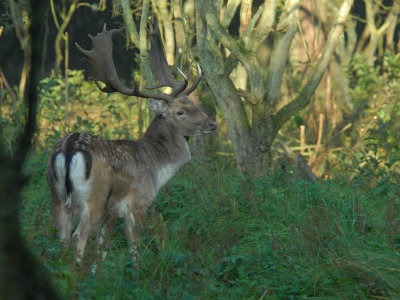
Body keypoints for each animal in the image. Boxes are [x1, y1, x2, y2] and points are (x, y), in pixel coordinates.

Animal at [45, 21, 217, 264]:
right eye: (180, 111)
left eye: (191, 103)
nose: (212, 123)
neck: (156, 168)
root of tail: (69, 150)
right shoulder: (138, 203)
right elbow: (133, 244)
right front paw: (138, 269)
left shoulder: (111, 214)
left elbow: (102, 248)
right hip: (94, 198)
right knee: (79, 237)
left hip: (56, 196)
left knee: (63, 238)